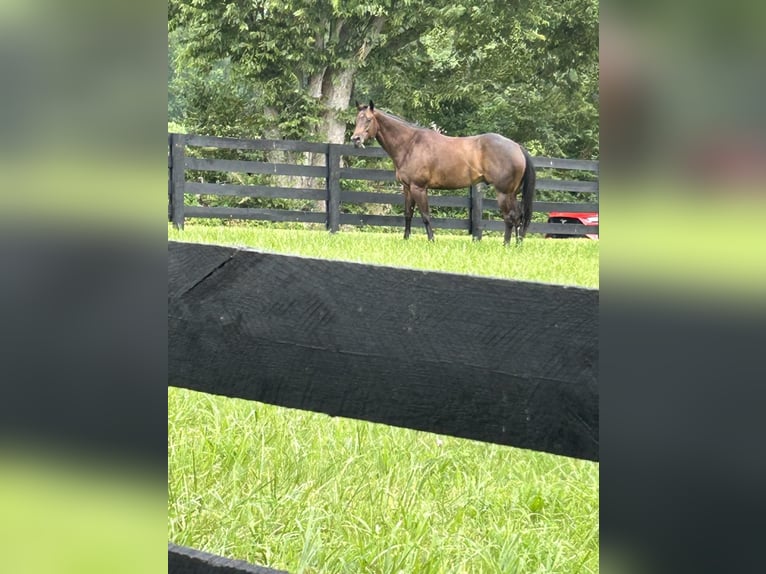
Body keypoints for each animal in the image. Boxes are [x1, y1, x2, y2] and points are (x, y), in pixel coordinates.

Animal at [352, 101, 536, 245]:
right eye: (356, 119)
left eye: (368, 119)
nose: (355, 139)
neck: (410, 144)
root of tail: (516, 146)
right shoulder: (407, 188)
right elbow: (408, 214)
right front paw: (406, 239)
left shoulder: (419, 188)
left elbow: (425, 216)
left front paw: (431, 240)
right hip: (512, 193)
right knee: (518, 217)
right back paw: (517, 245)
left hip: (503, 193)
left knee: (509, 217)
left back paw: (506, 245)